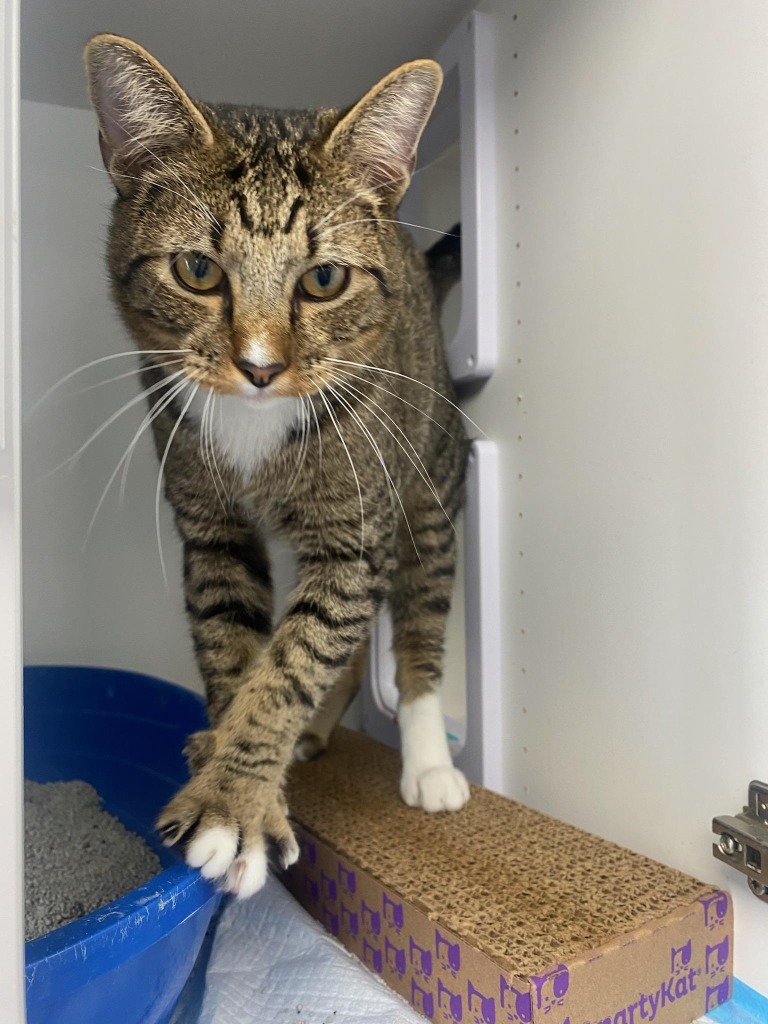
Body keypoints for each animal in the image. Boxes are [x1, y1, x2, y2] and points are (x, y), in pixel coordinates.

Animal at [82, 34, 468, 897]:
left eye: (323, 279)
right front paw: (229, 762)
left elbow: (298, 656)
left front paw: (234, 802)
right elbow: (236, 642)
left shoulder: (354, 536)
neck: (256, 426)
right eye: (196, 270)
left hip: (426, 484)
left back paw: (428, 758)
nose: (259, 367)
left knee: (417, 617)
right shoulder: (211, 528)